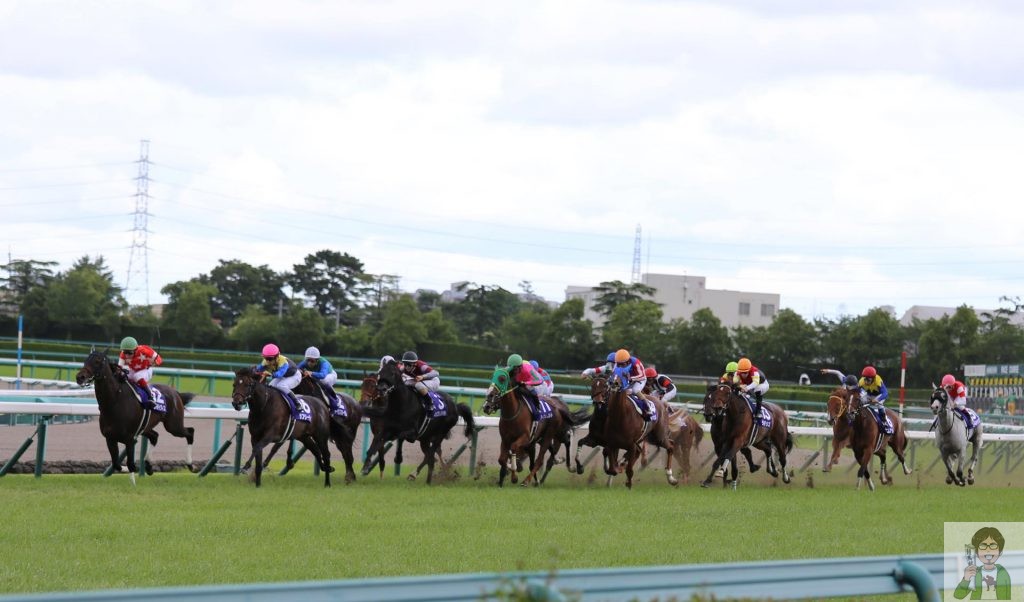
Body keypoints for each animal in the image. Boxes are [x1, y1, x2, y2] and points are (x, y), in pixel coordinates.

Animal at [75, 348, 196, 479]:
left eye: (97, 361)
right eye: (85, 360)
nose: (80, 377)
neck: (115, 401)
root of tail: (175, 393)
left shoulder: (129, 439)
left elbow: (130, 463)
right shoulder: (110, 438)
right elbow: (116, 463)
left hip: (173, 426)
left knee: (190, 432)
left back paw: (191, 465)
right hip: (146, 427)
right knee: (155, 436)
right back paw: (148, 466)